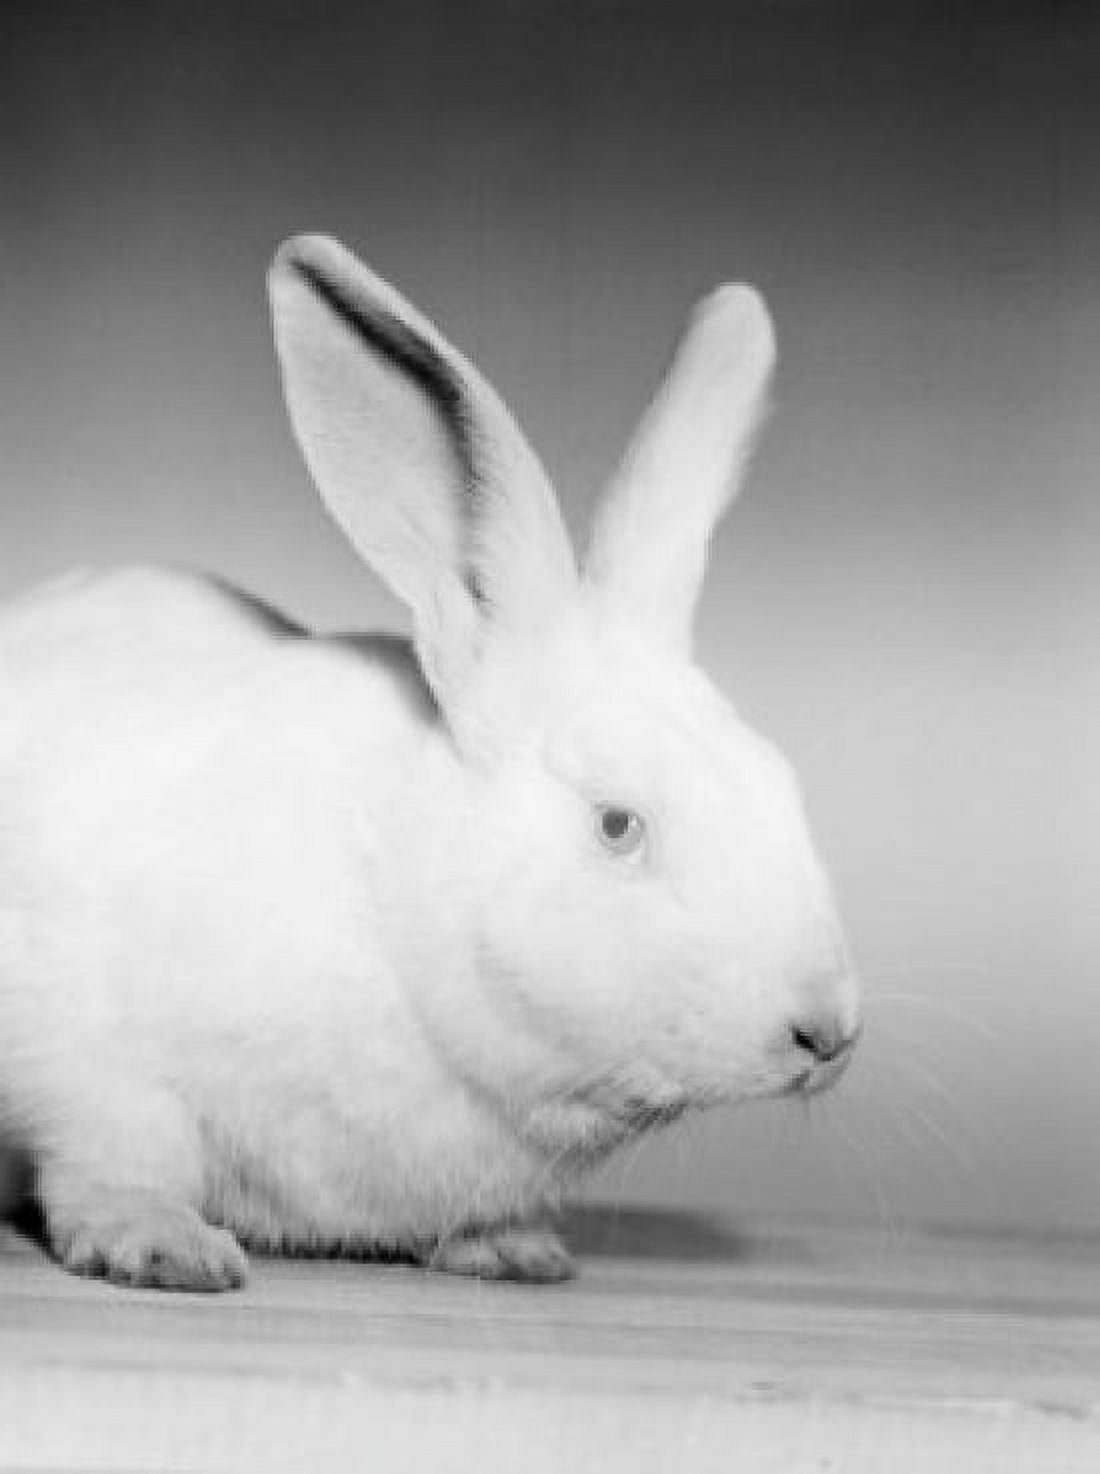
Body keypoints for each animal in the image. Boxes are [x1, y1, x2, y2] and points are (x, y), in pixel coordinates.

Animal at [0, 234, 860, 1292]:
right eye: (617, 824)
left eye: (783, 784)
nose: (828, 1031)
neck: (394, 898)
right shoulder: (91, 1065)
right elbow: (111, 1160)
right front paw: (164, 1246)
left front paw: (512, 1248)